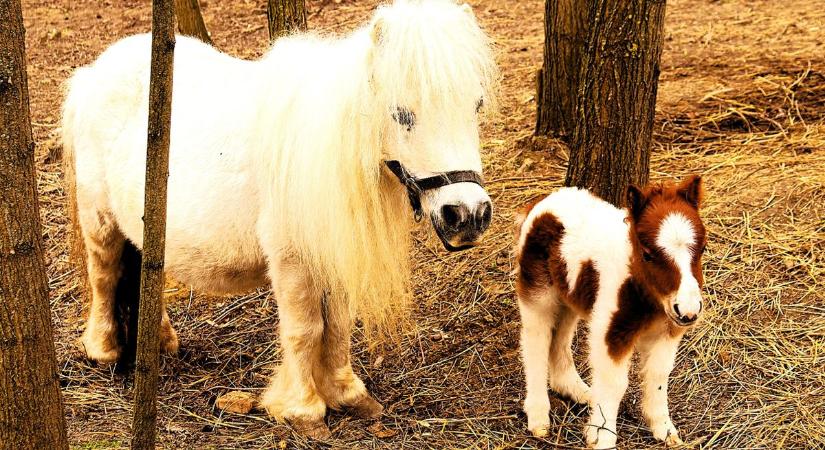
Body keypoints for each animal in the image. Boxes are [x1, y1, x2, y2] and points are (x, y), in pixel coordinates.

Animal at [62, 0, 496, 436]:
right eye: (402, 114)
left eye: (476, 104)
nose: (468, 215)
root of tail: (93, 74)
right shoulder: (293, 262)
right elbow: (305, 331)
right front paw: (303, 410)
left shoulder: (331, 253)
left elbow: (338, 325)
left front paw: (347, 393)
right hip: (100, 221)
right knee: (105, 276)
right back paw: (104, 349)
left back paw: (160, 340)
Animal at [516, 178, 700, 448]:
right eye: (647, 254)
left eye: (702, 249)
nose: (688, 311)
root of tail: (543, 203)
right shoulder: (611, 331)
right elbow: (614, 383)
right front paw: (602, 437)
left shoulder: (667, 329)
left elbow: (658, 374)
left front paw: (664, 430)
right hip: (538, 294)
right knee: (535, 342)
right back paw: (539, 417)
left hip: (569, 296)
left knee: (559, 337)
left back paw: (576, 390)